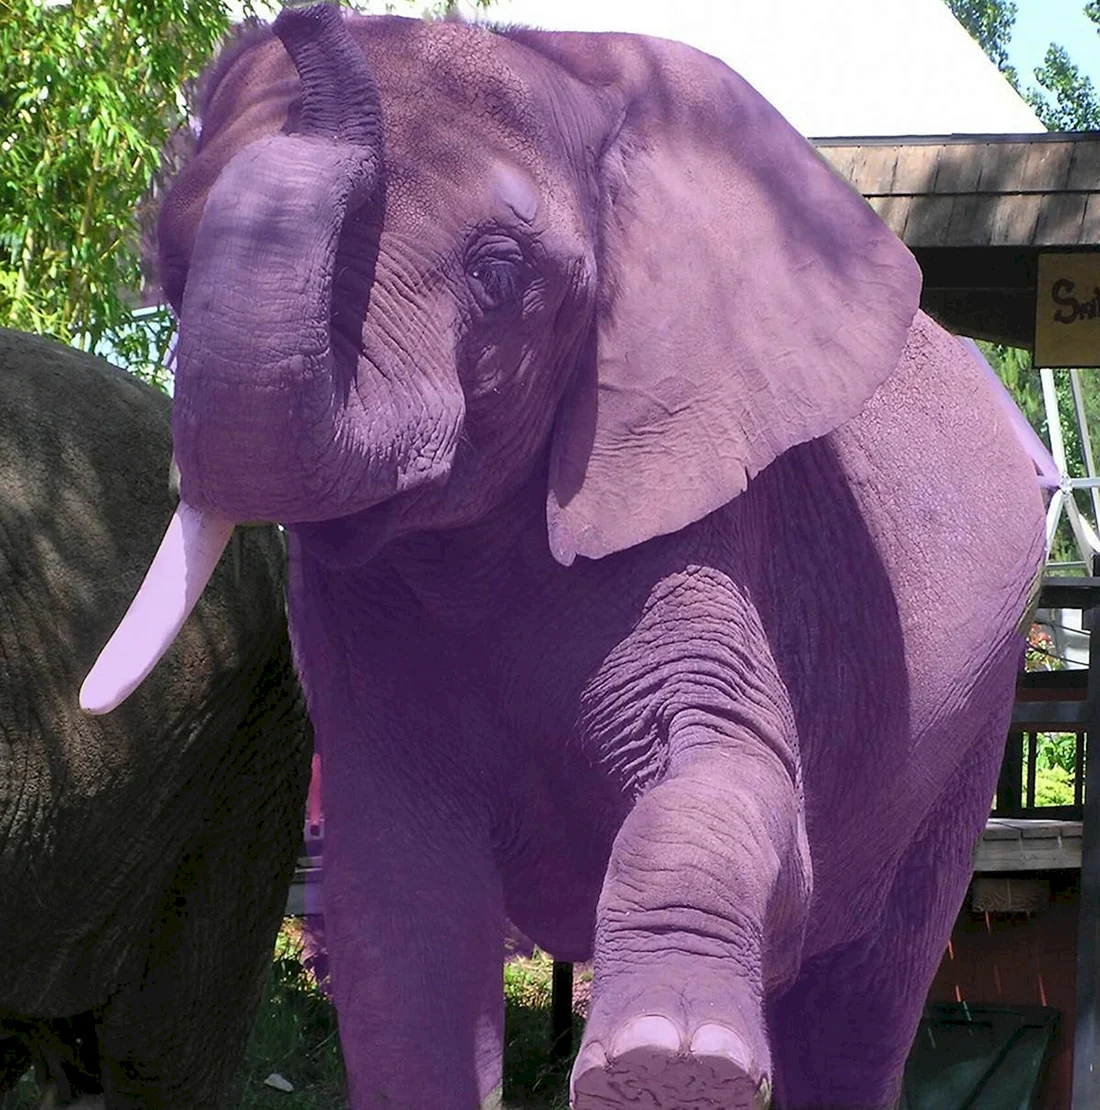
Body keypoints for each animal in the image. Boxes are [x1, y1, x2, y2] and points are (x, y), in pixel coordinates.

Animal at [82, 6, 1047, 1109]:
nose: (308, 21)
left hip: (974, 717)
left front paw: (668, 1069)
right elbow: (401, 913)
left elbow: (736, 789)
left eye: (500, 272)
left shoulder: (704, 502)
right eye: (174, 271)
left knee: (865, 994)